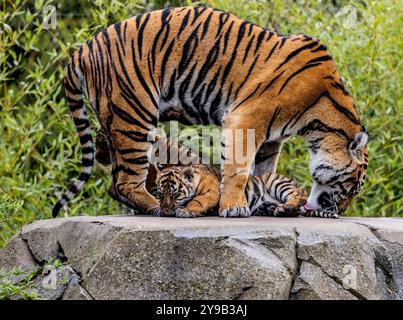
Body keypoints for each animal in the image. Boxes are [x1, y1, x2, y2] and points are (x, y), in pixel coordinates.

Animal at [53, 5, 370, 218]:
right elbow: (237, 168)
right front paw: (234, 206)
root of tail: (82, 48)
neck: (320, 122)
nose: (339, 212)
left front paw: (266, 201)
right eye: (351, 186)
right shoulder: (245, 120)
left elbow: (264, 171)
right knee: (123, 183)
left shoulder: (271, 138)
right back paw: (158, 207)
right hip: (133, 115)